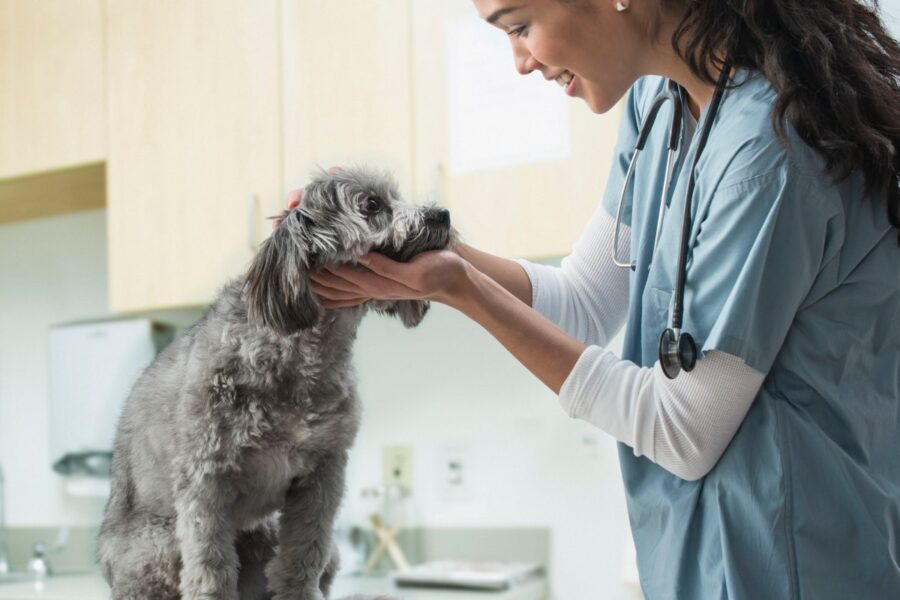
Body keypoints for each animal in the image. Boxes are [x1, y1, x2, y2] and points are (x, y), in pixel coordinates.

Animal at [96, 169, 458, 600]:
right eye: (372, 204)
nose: (443, 214)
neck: (301, 354)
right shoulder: (205, 480)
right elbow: (210, 568)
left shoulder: (322, 476)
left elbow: (303, 555)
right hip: (159, 547)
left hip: (289, 539)